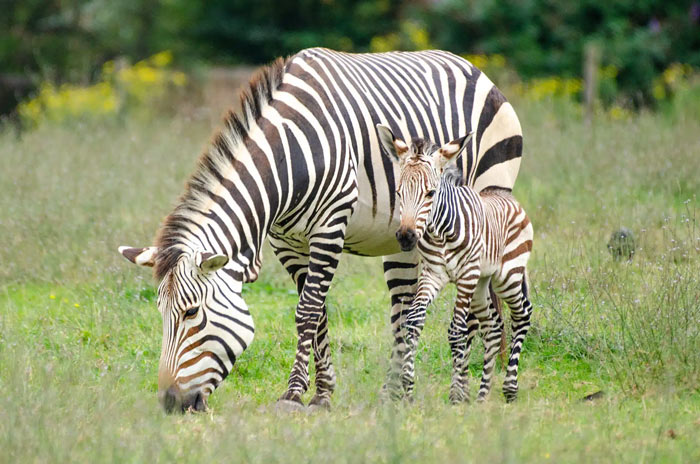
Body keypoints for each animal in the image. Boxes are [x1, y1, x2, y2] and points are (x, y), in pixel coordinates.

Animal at [378, 125, 536, 404]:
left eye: (430, 193)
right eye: (398, 193)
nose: (406, 237)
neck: (440, 231)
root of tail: (503, 194)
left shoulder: (466, 276)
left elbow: (456, 329)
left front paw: (456, 396)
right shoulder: (433, 275)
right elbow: (414, 320)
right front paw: (407, 385)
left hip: (507, 276)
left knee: (522, 313)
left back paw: (510, 388)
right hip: (482, 284)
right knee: (493, 327)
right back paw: (483, 395)